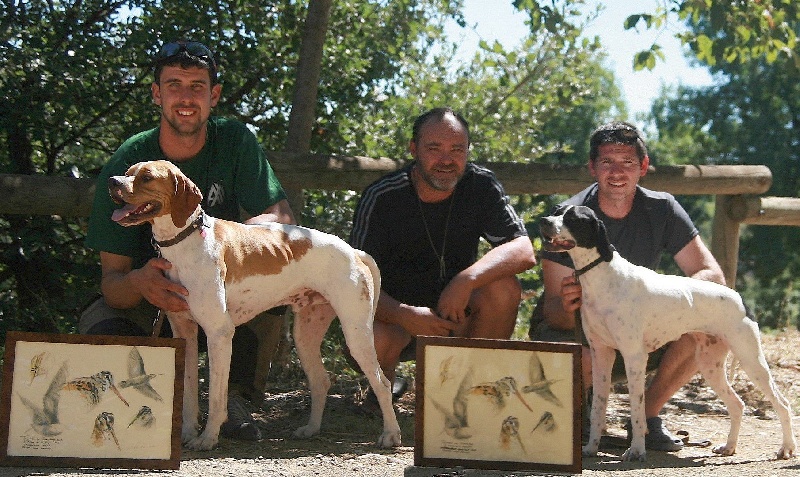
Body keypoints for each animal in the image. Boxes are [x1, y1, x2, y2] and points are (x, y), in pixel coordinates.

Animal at [108, 159, 400, 450]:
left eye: (147, 177)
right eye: (128, 172)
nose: (112, 181)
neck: (185, 241)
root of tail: (353, 251)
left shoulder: (219, 334)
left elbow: (216, 397)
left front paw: (208, 438)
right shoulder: (185, 333)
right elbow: (188, 394)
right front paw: (187, 434)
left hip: (356, 335)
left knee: (382, 383)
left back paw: (390, 434)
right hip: (305, 336)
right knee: (321, 381)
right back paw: (311, 429)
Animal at [536, 205, 792, 462]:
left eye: (573, 218)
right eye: (557, 211)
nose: (544, 221)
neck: (604, 276)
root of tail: (740, 299)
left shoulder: (634, 357)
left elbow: (637, 409)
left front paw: (637, 450)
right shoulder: (601, 355)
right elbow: (598, 408)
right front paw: (591, 448)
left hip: (752, 361)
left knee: (783, 404)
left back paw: (786, 448)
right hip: (710, 366)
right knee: (737, 405)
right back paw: (729, 447)